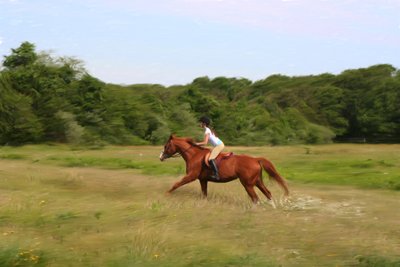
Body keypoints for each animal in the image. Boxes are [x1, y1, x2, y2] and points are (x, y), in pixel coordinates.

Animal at [160, 135, 290, 204]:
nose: (160, 157)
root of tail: (255, 159)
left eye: (166, 146)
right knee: (267, 193)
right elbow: (204, 193)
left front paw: (166, 194)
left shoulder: (191, 176)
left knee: (255, 198)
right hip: (258, 181)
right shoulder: (203, 180)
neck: (194, 155)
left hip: (248, 184)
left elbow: (177, 184)